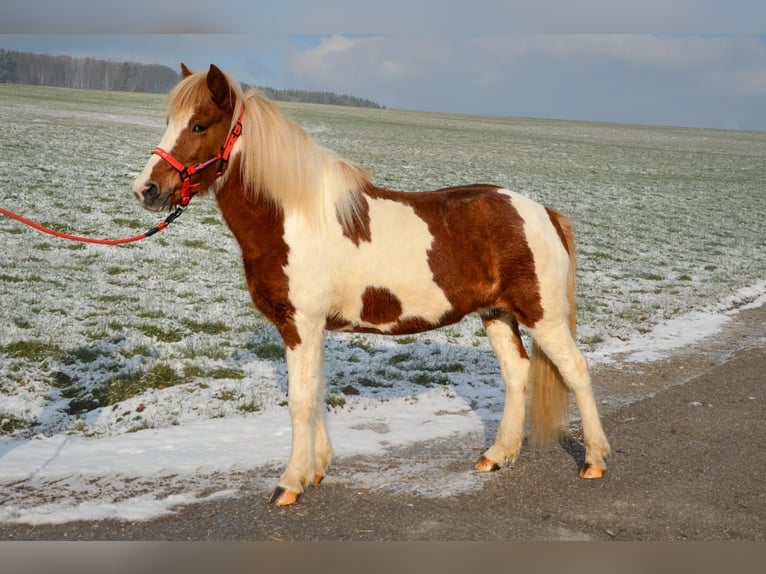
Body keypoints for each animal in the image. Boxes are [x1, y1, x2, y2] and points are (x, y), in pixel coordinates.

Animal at [132, 64, 611, 506]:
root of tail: (543, 213)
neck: (295, 218)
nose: (147, 189)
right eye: (170, 121)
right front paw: (316, 470)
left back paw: (594, 460)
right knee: (517, 373)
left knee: (576, 370)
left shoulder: (300, 324)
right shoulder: (312, 329)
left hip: (542, 315)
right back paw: (497, 455)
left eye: (199, 125)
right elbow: (317, 392)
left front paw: (289, 484)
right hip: (497, 314)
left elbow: (299, 400)